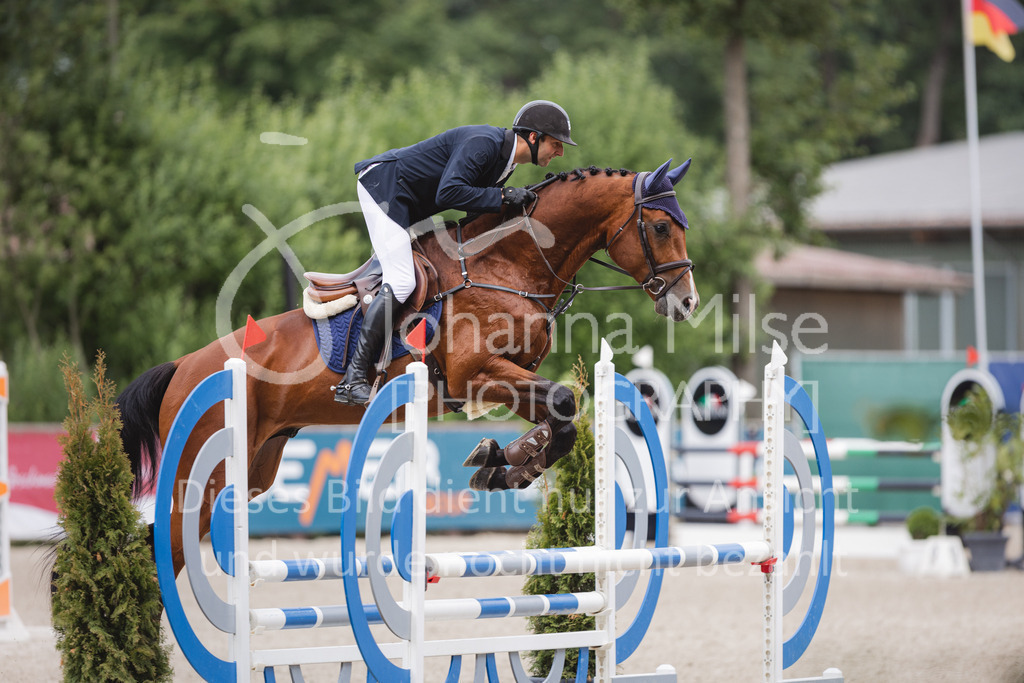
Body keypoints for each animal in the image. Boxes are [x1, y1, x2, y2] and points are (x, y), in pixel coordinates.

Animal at [117, 159, 698, 575]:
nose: (687, 302)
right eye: (661, 227)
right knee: (161, 550)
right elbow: (561, 399)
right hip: (203, 473)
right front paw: (504, 462)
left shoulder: (506, 377)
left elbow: (559, 416)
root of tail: (183, 367)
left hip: (255, 467)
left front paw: (502, 463)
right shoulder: (475, 376)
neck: (507, 265)